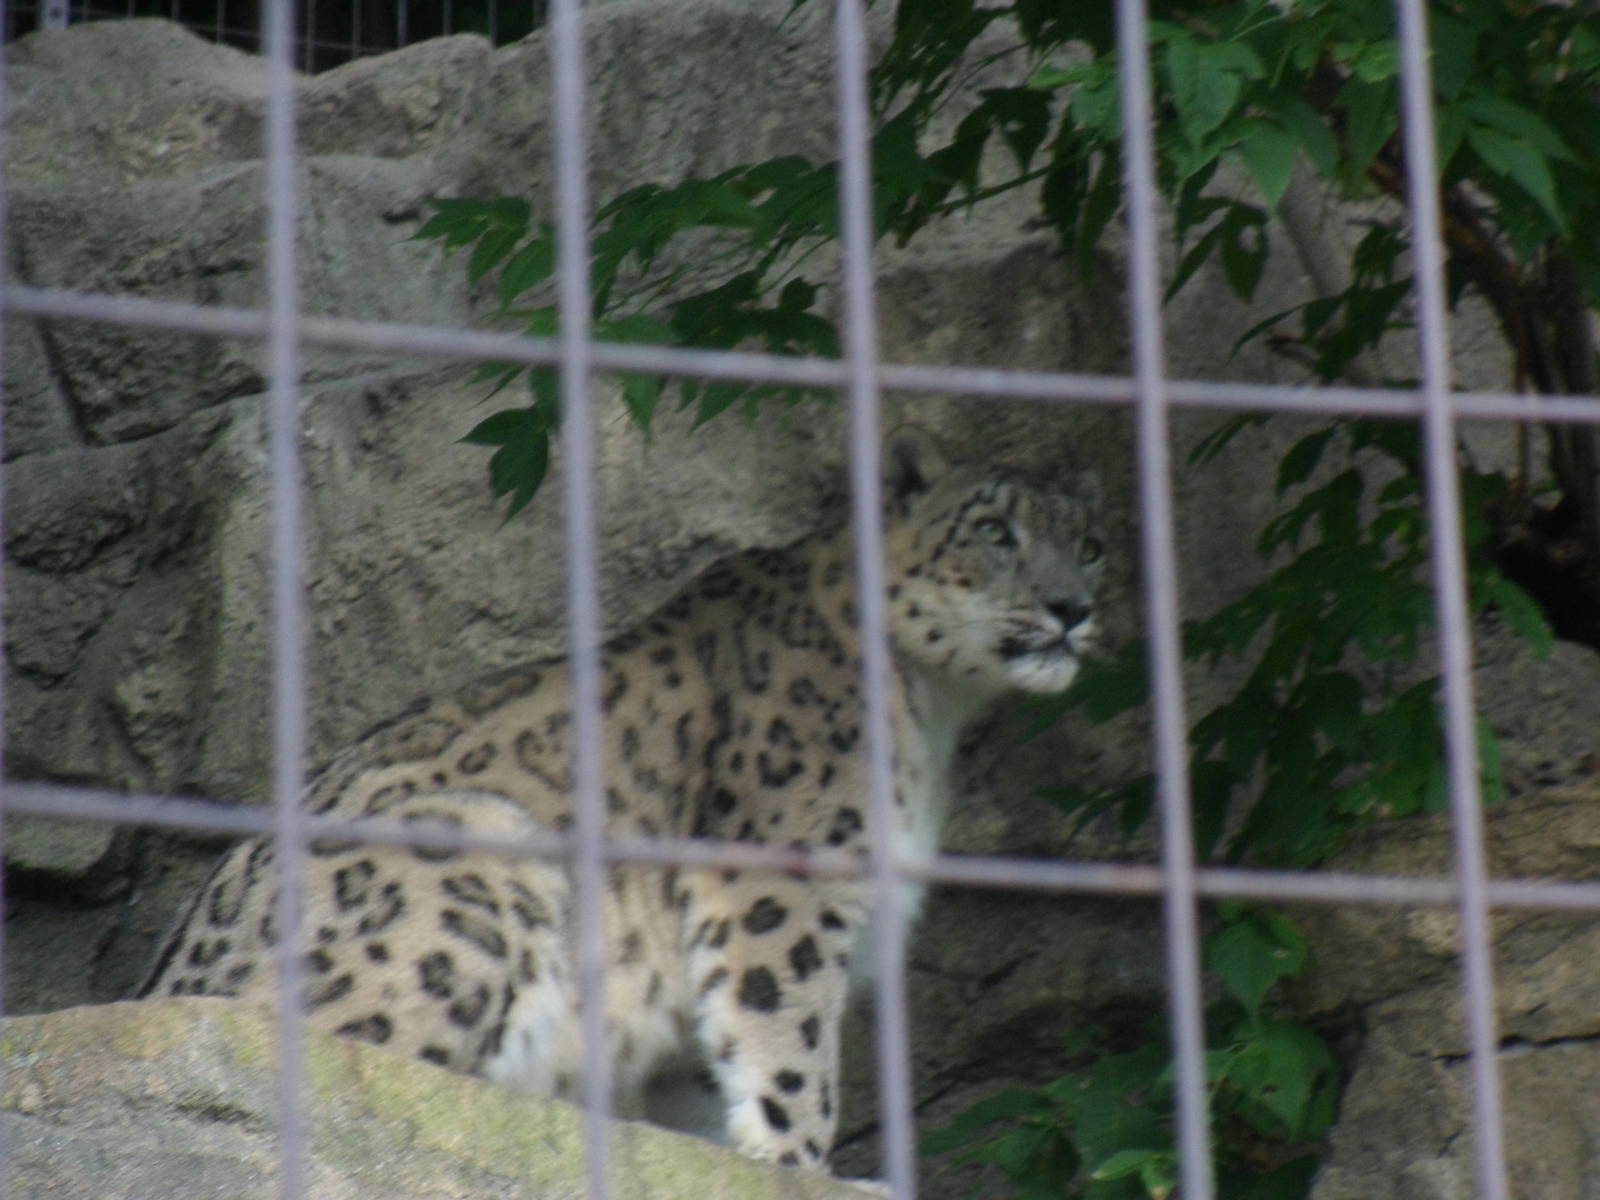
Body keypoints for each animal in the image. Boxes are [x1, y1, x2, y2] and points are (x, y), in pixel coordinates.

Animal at [138, 425, 1107, 1174]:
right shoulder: (780, 884)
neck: (933, 709)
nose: (1073, 606)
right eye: (994, 529)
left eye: (1092, 543)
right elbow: (785, 1036)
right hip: (474, 863)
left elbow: (712, 1061)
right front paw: (798, 1163)